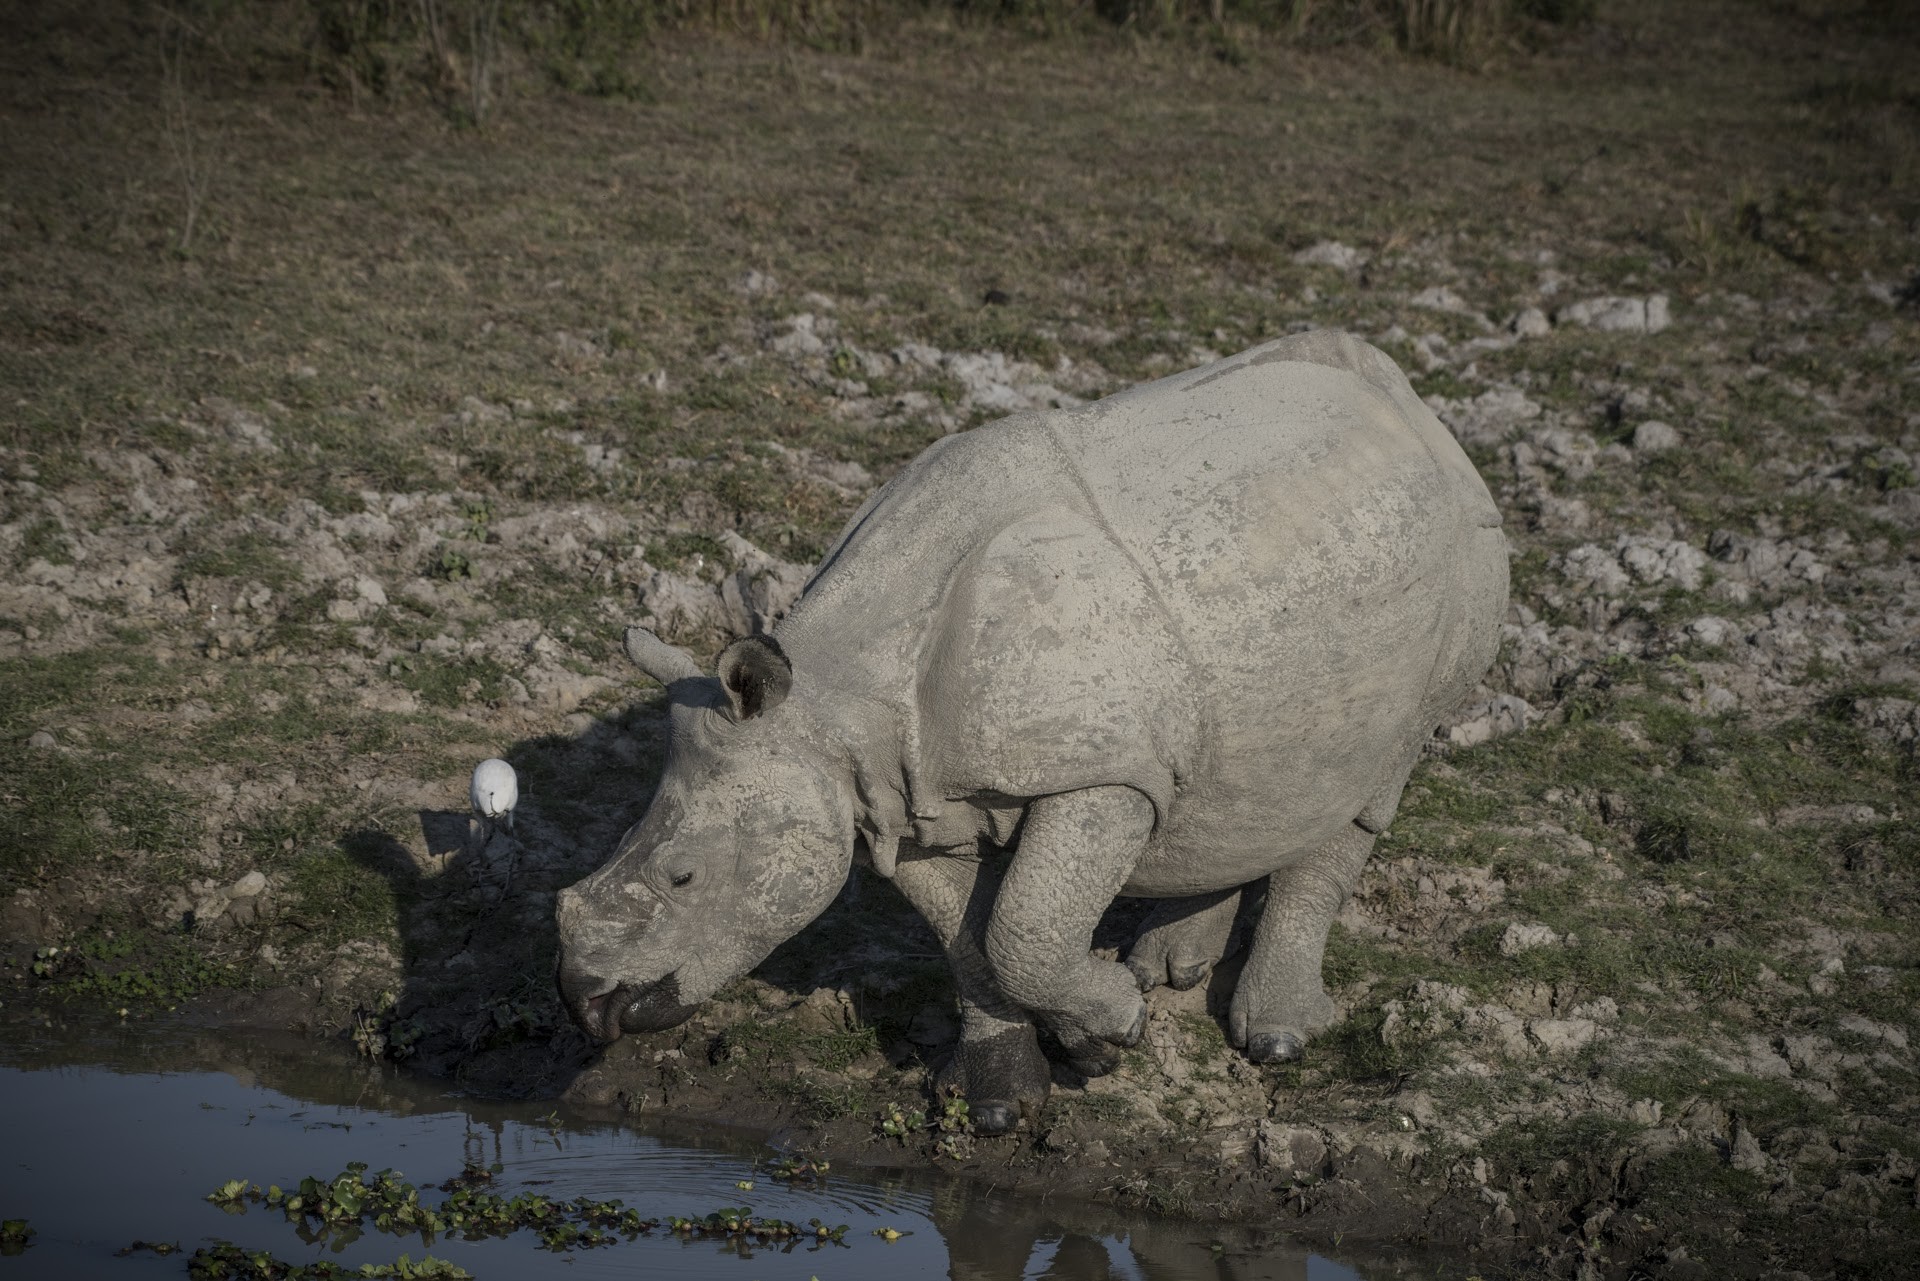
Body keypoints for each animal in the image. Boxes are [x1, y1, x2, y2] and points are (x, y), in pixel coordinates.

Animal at [556, 330, 1508, 1134]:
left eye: (684, 876)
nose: (585, 1005)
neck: (835, 701)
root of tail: (1414, 406)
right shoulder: (909, 793)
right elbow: (970, 941)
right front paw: (1010, 1097)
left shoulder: (1100, 773)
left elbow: (1022, 927)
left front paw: (1116, 1023)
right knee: (1239, 778)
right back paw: (1170, 968)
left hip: (1463, 559)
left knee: (1376, 777)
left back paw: (1274, 1038)